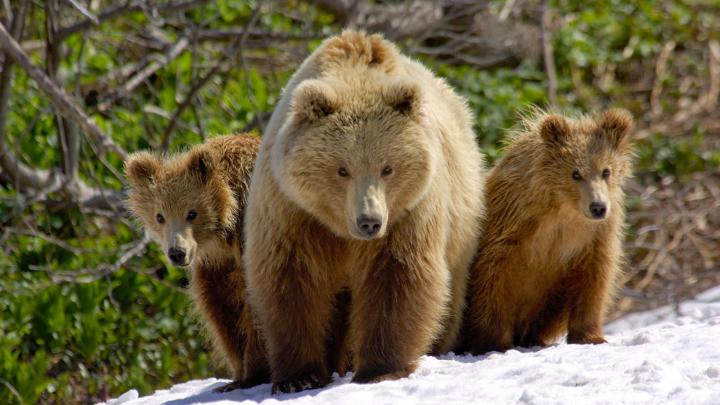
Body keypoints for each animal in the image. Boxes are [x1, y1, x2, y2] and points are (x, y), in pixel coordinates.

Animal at [124, 134, 270, 391]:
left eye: (192, 213)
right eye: (160, 216)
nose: (177, 253)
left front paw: (254, 374)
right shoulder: (216, 267)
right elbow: (221, 312)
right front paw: (236, 376)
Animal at [243, 30, 486, 393]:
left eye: (388, 168)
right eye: (342, 169)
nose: (369, 221)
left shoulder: (409, 212)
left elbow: (398, 276)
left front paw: (380, 369)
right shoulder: (292, 210)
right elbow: (291, 280)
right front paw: (298, 377)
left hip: (461, 220)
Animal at [463, 108, 634, 355]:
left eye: (606, 171)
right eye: (575, 174)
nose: (598, 207)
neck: (563, 210)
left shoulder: (593, 237)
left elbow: (594, 279)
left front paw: (591, 336)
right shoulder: (511, 227)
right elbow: (493, 277)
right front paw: (494, 342)